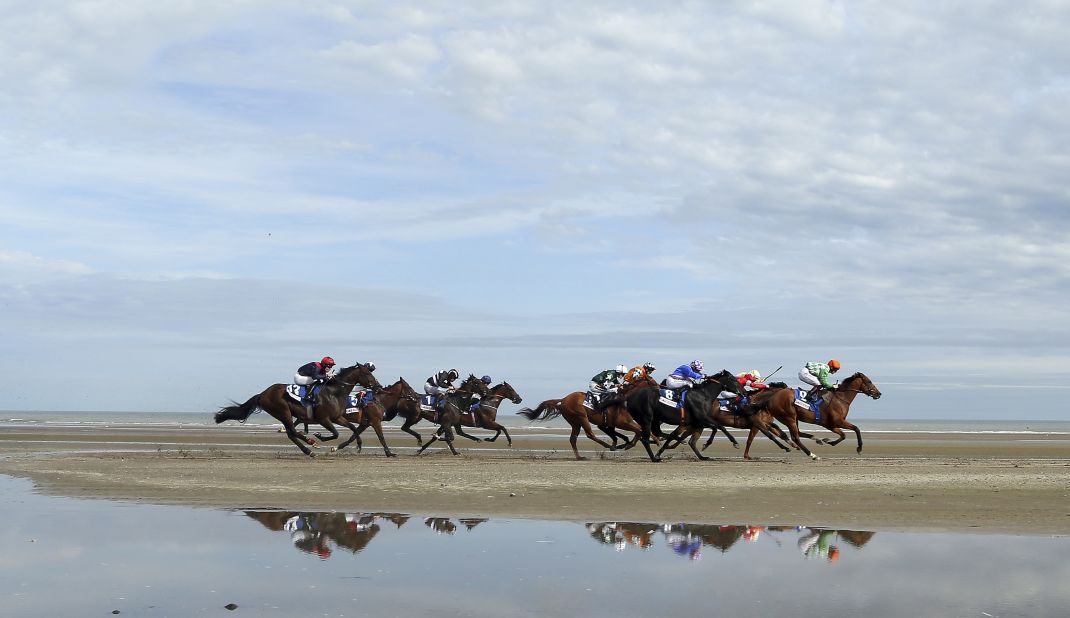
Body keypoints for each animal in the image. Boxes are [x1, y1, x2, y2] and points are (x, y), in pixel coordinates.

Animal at [212, 361, 380, 457]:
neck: (334, 392)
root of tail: (263, 393)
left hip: (284, 414)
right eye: (367, 373)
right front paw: (319, 436)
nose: (378, 386)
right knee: (292, 432)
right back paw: (311, 443)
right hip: (283, 411)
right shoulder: (323, 419)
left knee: (290, 433)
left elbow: (353, 428)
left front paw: (359, 445)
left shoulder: (337, 417)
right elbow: (336, 433)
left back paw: (309, 449)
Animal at [744, 369, 885, 457]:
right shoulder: (838, 421)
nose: (878, 394)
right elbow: (856, 428)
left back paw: (817, 439)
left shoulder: (830, 424)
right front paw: (859, 448)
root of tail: (772, 397)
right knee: (795, 437)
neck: (840, 398)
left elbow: (843, 435)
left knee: (798, 433)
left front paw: (829, 441)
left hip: (794, 417)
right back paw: (812, 454)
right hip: (789, 417)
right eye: (869, 381)